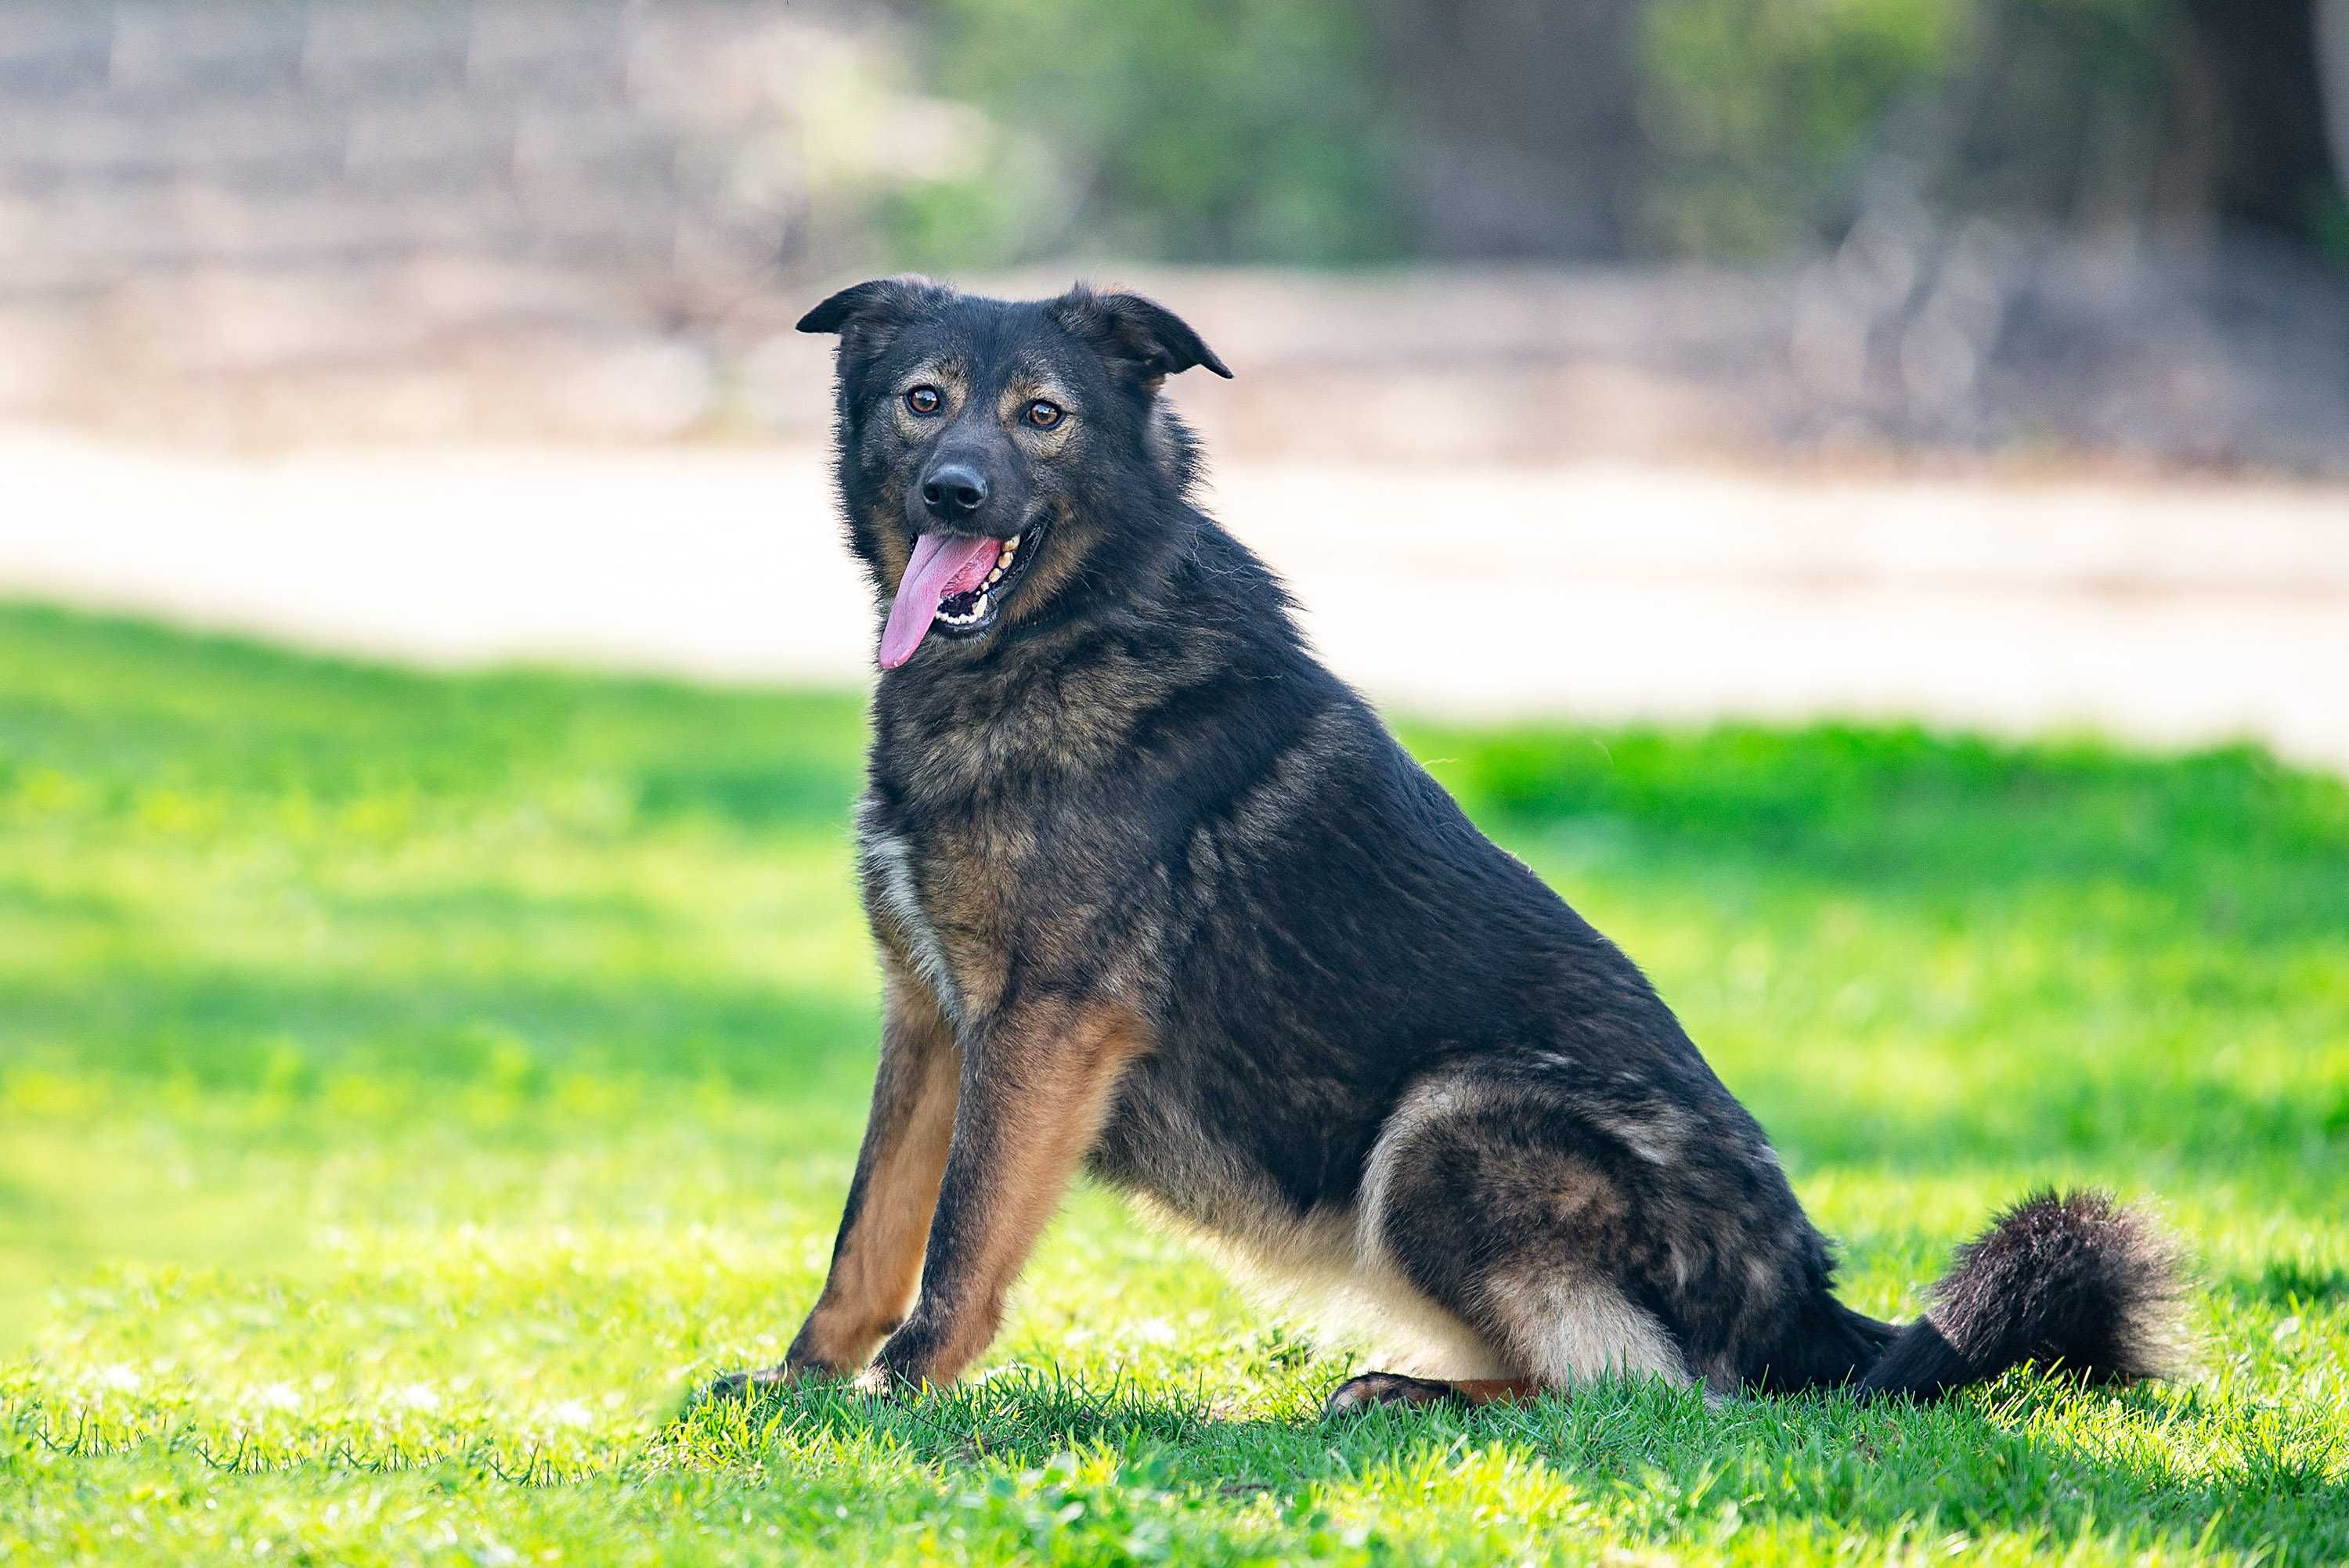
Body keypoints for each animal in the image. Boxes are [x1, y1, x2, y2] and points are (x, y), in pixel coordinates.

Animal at [723, 276, 2189, 1418]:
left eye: (1043, 415)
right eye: (924, 400)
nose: (954, 489)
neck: (1066, 634)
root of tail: (1806, 1304)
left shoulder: (1040, 1028)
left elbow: (961, 1239)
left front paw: (904, 1390)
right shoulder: (931, 1022)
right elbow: (870, 1231)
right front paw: (807, 1379)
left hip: (1449, 1120)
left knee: (1648, 1390)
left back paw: (1408, 1392)